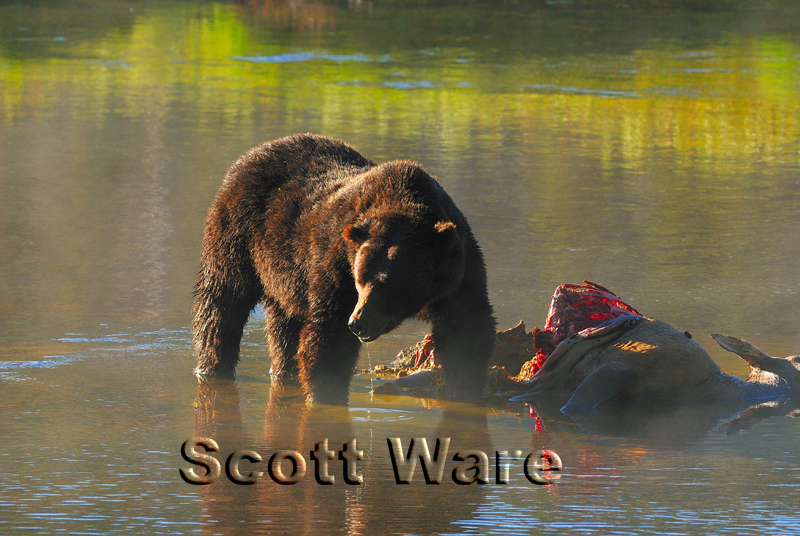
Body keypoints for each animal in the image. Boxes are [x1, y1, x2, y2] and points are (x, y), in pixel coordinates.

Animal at [192, 133, 496, 405]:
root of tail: (252, 152)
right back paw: (212, 365)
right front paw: (326, 394)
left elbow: (466, 332)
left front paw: (465, 389)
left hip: (284, 272)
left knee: (283, 322)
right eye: (360, 279)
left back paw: (283, 370)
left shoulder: (460, 273)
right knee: (222, 301)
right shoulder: (336, 264)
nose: (358, 322)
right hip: (238, 235)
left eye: (387, 282)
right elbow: (328, 334)